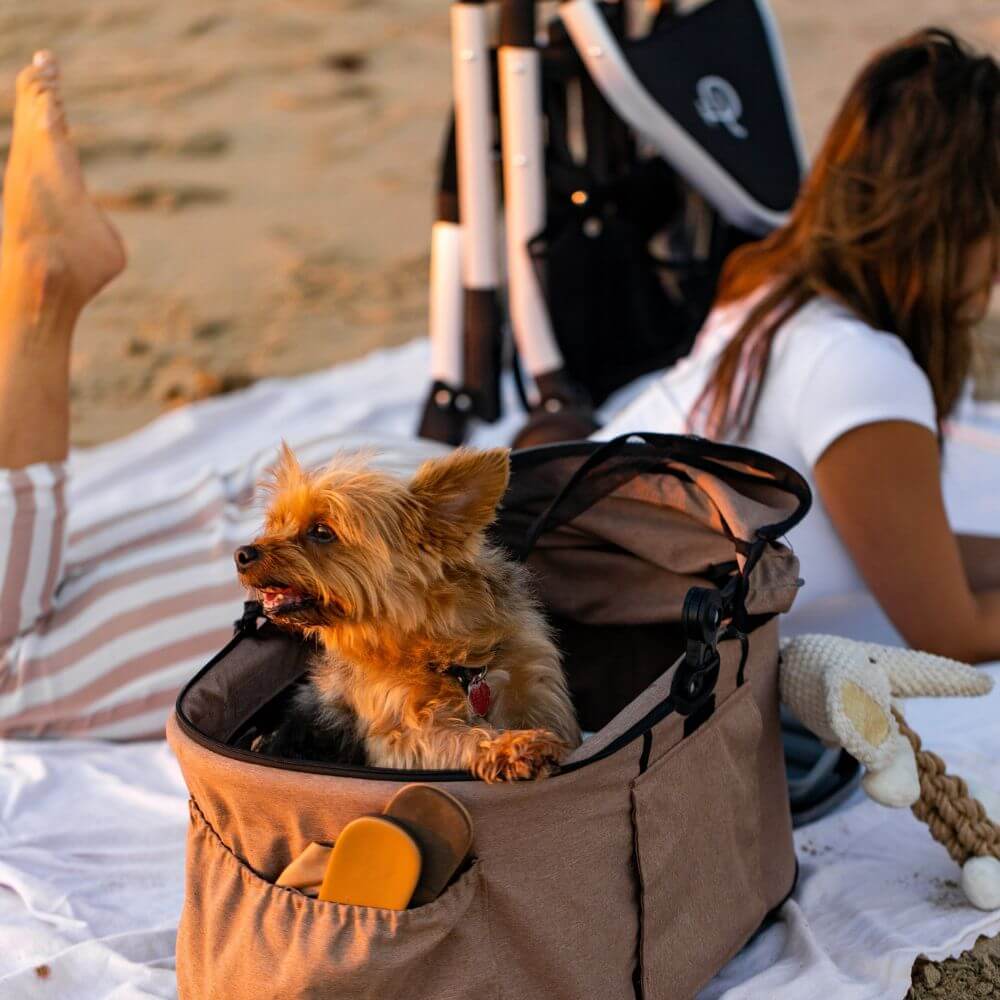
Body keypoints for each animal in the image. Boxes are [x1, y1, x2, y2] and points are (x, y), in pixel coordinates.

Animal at [234, 446, 580, 780]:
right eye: (276, 524)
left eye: (321, 531)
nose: (242, 554)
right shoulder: (400, 730)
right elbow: (456, 738)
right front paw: (515, 746)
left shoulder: (533, 680)